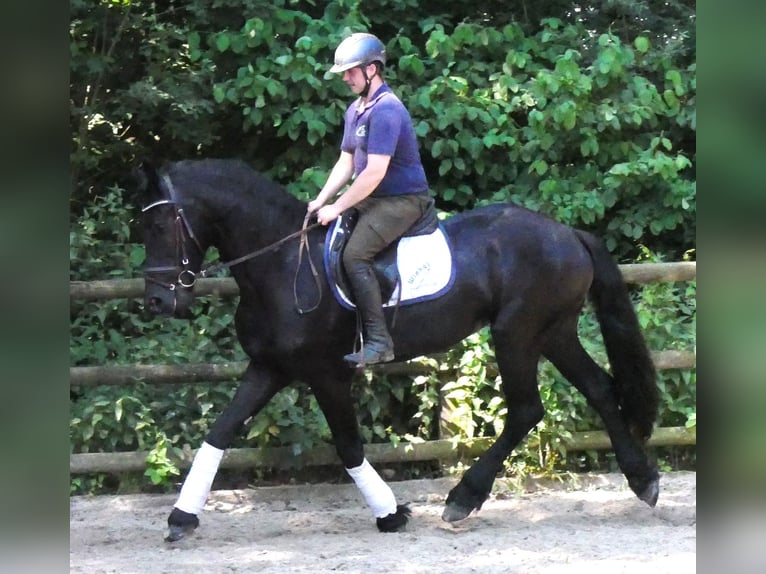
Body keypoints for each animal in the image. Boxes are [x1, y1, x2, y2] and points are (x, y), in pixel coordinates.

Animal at [136, 158, 660, 542]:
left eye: (161, 224)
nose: (158, 301)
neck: (283, 263)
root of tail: (568, 233)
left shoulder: (327, 374)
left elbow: (348, 446)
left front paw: (390, 514)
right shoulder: (268, 367)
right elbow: (219, 433)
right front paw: (181, 518)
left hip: (517, 332)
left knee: (527, 408)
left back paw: (462, 498)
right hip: (554, 332)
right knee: (599, 388)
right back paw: (643, 480)